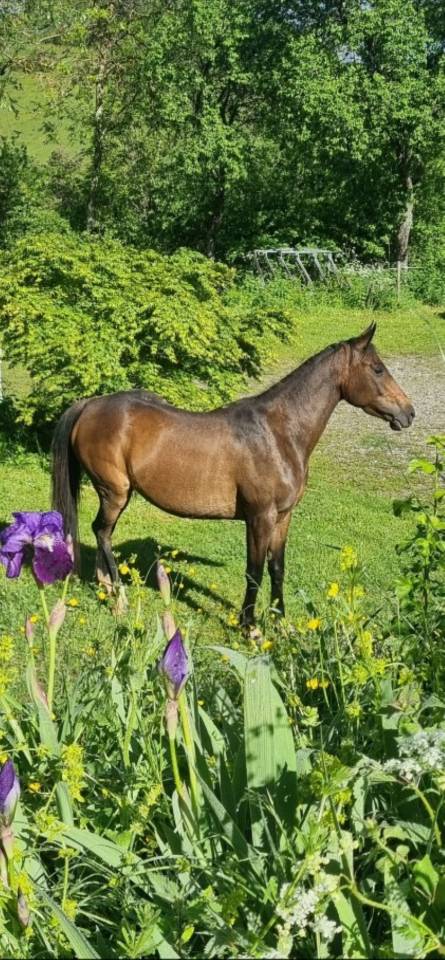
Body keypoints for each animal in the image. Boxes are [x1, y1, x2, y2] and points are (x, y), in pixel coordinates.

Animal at [51, 322, 414, 625]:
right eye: (378, 369)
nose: (408, 412)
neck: (277, 433)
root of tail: (90, 404)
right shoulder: (259, 518)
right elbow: (254, 571)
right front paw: (249, 626)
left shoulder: (283, 517)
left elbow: (277, 568)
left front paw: (280, 624)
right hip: (114, 492)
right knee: (101, 531)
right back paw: (119, 598)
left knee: (103, 533)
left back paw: (106, 588)